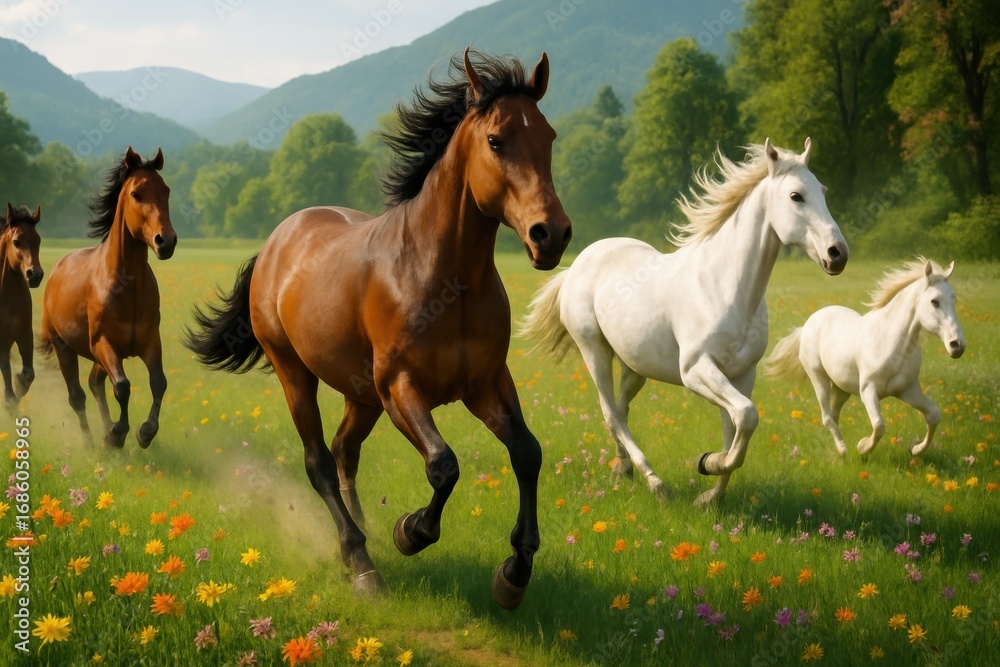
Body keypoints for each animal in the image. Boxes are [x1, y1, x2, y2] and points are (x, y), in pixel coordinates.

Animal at [39, 147, 177, 448]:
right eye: (136, 193)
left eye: (166, 190)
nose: (166, 241)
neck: (127, 287)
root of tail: (56, 269)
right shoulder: (104, 344)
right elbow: (122, 387)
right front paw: (119, 432)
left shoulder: (150, 342)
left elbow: (158, 382)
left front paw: (144, 432)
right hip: (64, 348)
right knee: (78, 396)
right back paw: (91, 443)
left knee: (94, 383)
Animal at [185, 49, 571, 608]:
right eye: (497, 140)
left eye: (549, 136)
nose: (551, 235)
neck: (444, 281)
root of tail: (278, 238)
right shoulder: (400, 388)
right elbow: (444, 464)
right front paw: (410, 531)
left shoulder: (486, 384)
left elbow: (527, 453)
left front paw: (514, 573)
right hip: (296, 374)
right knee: (319, 461)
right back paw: (360, 560)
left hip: (360, 393)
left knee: (345, 449)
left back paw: (363, 530)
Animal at [521, 139, 848, 506]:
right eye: (796, 196)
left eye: (823, 190)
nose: (838, 254)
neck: (726, 287)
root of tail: (578, 264)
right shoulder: (695, 370)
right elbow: (746, 417)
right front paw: (707, 463)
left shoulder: (741, 375)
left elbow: (737, 428)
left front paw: (709, 495)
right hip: (594, 351)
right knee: (611, 414)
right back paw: (655, 482)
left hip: (635, 366)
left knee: (620, 411)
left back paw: (623, 467)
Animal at [765, 258, 965, 458]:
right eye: (934, 301)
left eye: (954, 299)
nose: (957, 346)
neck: (893, 345)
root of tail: (808, 324)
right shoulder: (868, 389)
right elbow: (879, 425)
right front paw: (862, 448)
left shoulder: (909, 390)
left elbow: (934, 415)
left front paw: (915, 448)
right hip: (819, 378)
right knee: (827, 417)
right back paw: (843, 451)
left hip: (841, 388)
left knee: (835, 416)